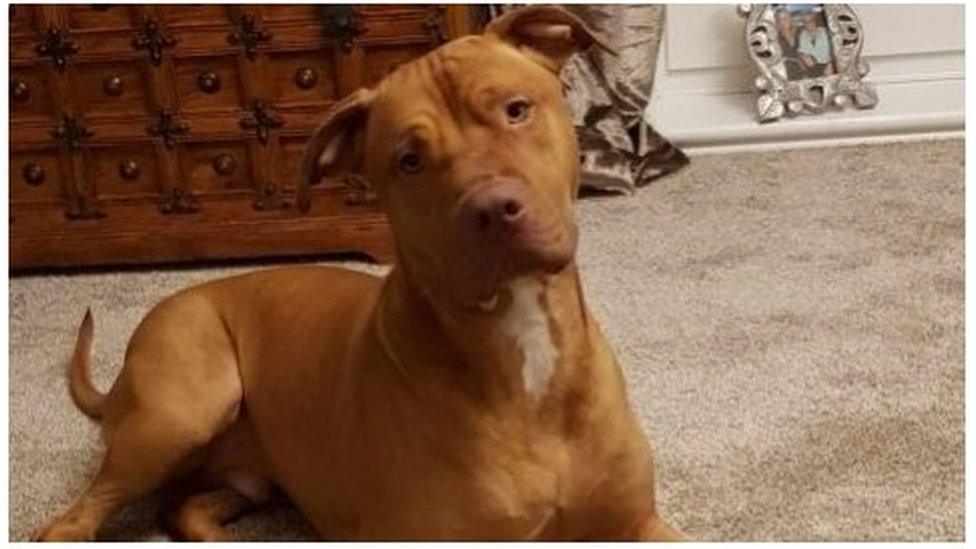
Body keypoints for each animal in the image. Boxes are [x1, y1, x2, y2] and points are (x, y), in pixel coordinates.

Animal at [34, 6, 684, 540]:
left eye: (516, 110)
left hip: (243, 474)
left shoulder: (641, 524)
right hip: (182, 407)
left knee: (184, 507)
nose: (494, 209)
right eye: (409, 160)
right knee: (72, 521)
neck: (524, 357)